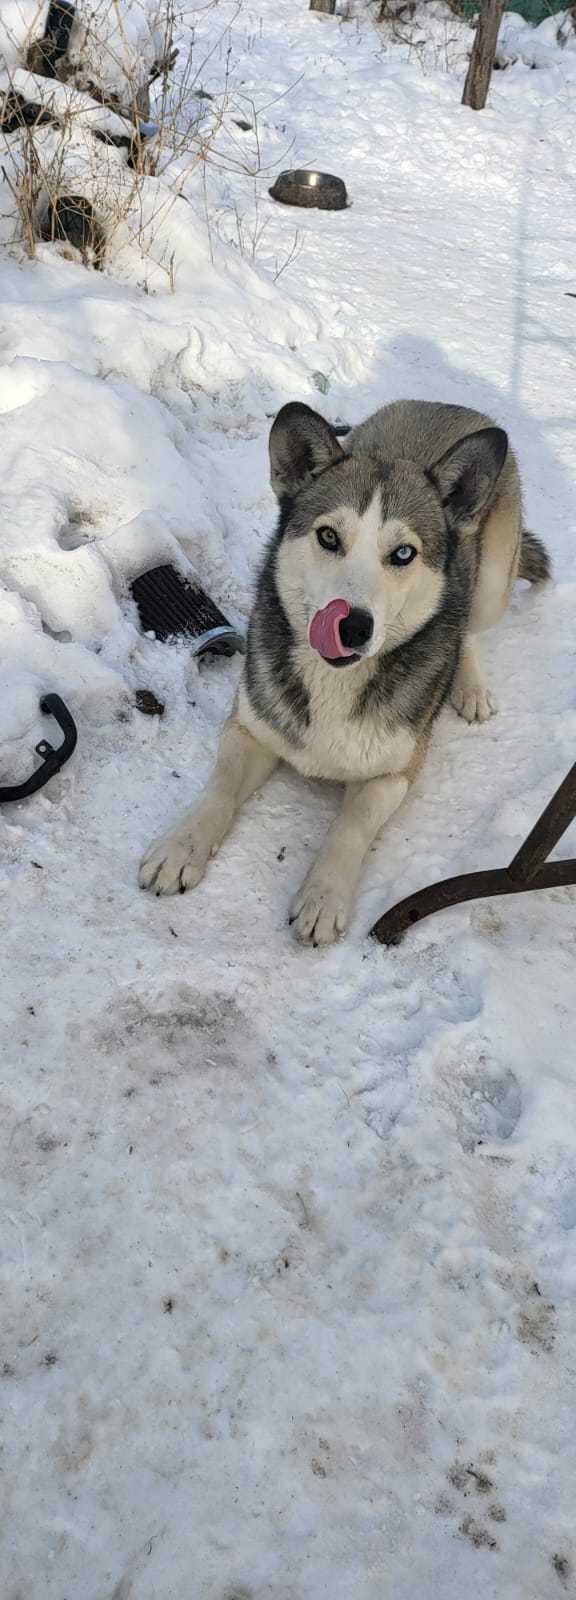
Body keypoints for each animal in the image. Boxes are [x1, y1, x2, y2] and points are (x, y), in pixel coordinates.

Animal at [139, 400, 550, 940]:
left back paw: (471, 686)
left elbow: (351, 825)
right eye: (328, 536)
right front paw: (181, 846)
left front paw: (323, 895)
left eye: (403, 553)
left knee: (471, 628)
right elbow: (220, 787)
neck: (333, 681)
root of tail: (448, 405)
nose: (351, 625)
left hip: (491, 583)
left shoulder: (394, 772)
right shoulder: (252, 728)